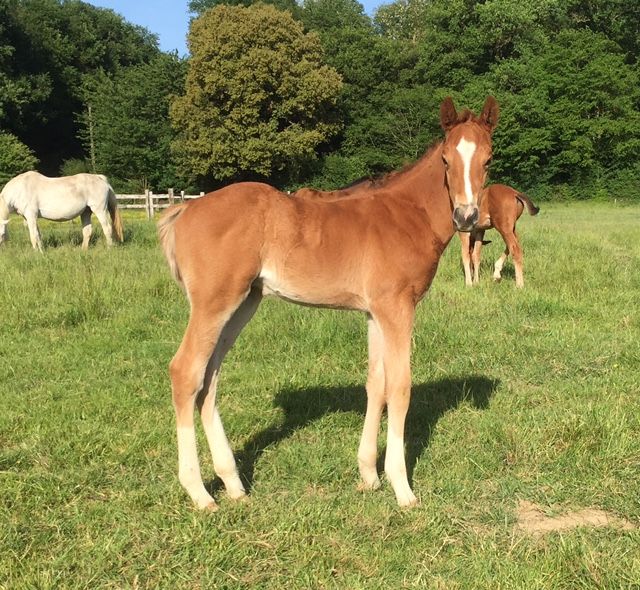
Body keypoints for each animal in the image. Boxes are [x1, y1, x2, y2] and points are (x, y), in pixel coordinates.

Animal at [157, 96, 499, 510]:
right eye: (447, 160)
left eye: (488, 159)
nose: (466, 217)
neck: (406, 215)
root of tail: (185, 209)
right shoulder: (397, 308)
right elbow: (400, 387)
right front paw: (402, 487)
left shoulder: (375, 313)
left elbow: (376, 383)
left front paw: (369, 475)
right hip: (214, 303)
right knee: (185, 372)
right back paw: (200, 492)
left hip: (243, 303)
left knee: (209, 378)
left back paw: (233, 484)